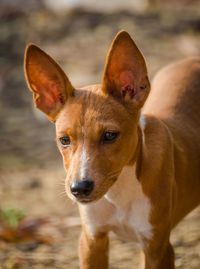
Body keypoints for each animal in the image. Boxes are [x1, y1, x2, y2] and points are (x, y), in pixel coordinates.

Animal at [23, 30, 200, 266]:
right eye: (64, 140)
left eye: (109, 135)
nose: (79, 188)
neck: (119, 192)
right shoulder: (92, 240)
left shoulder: (158, 248)